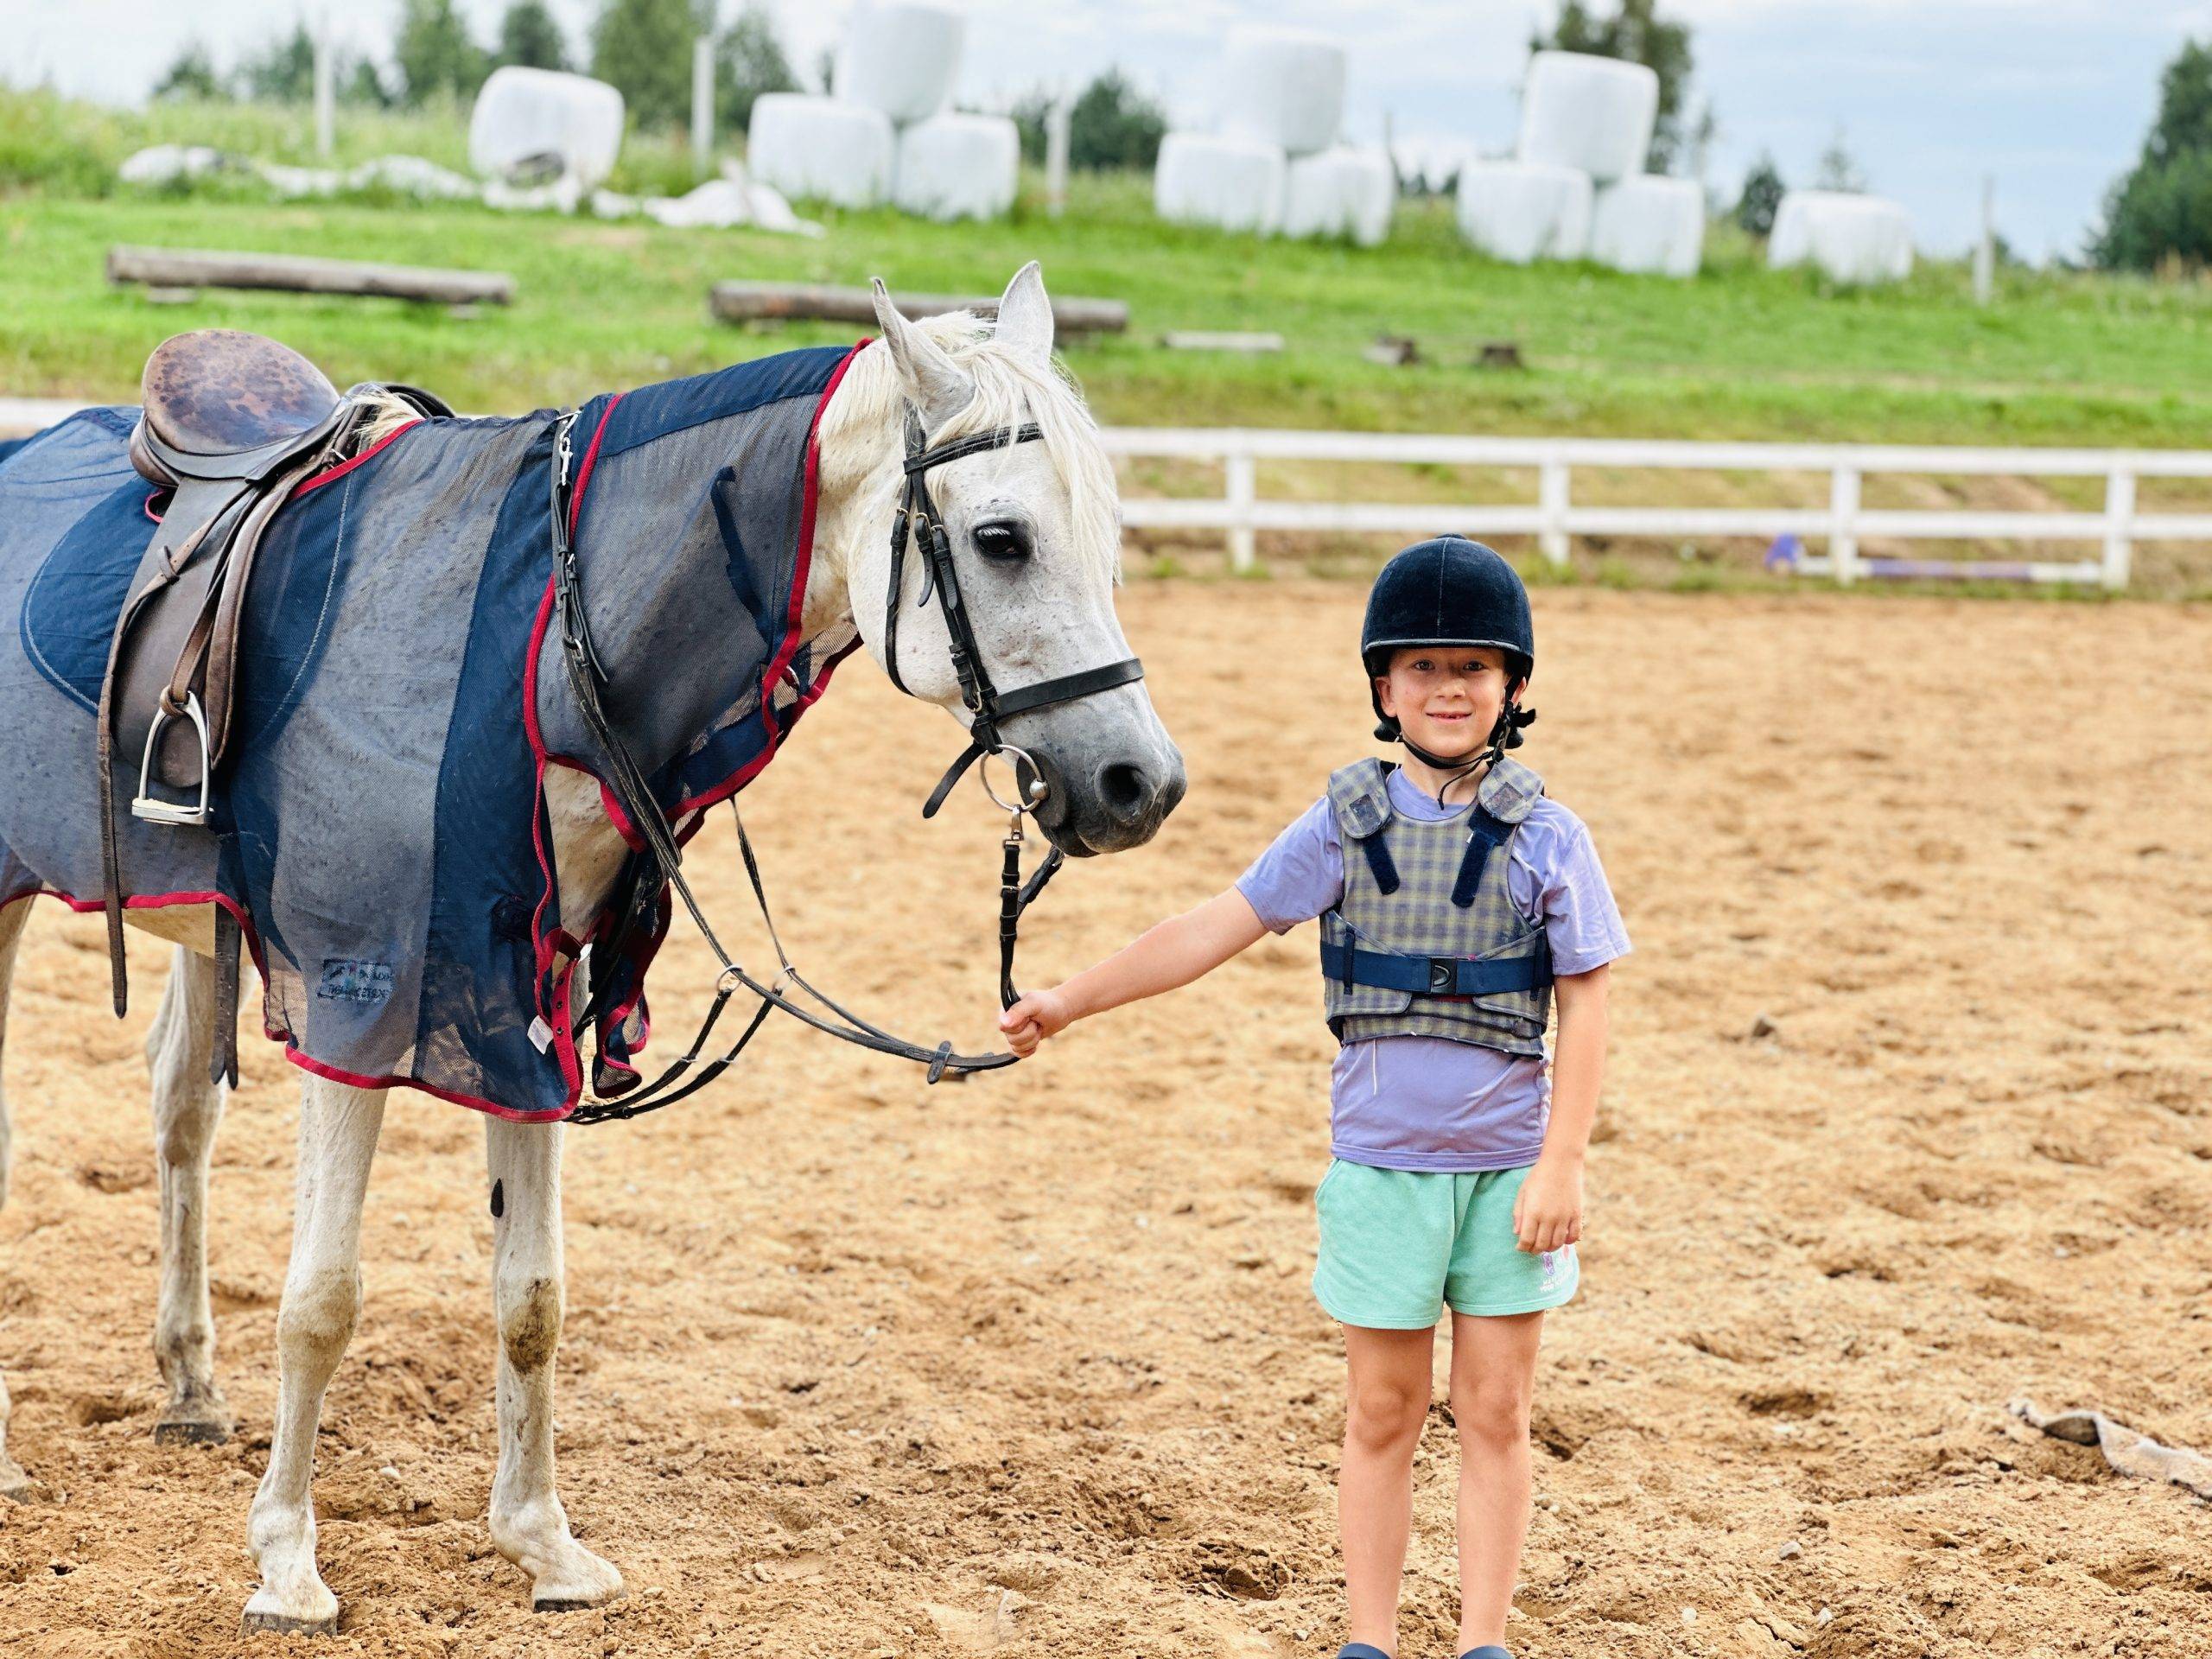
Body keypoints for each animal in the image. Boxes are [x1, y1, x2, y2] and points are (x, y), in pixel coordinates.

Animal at [0, 266, 1185, 1628]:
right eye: (1001, 539)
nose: (1141, 783)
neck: (538, 645)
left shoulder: (526, 997)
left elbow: (533, 1298)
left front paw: (542, 1544)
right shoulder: (364, 997)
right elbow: (323, 1300)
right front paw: (290, 1562)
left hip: (205, 936)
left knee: (179, 1112)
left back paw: (191, 1389)